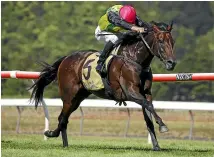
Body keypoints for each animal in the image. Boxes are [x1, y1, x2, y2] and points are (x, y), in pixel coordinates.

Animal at [30, 21, 176, 150]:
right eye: (160, 40)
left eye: (173, 42)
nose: (172, 63)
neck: (135, 59)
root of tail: (65, 58)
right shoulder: (131, 92)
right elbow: (148, 106)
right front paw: (163, 125)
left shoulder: (146, 93)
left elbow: (148, 115)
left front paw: (156, 145)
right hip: (69, 96)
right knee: (62, 118)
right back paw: (53, 135)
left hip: (78, 97)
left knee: (64, 118)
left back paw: (61, 141)